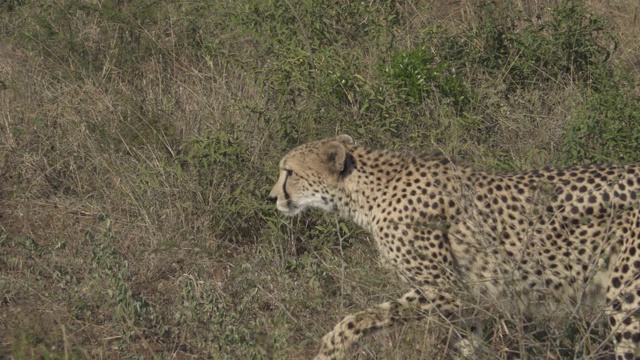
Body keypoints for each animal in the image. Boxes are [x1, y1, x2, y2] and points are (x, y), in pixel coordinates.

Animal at [268, 136, 640, 360]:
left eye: (289, 172)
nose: (271, 197)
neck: (367, 193)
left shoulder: (445, 289)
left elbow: (361, 317)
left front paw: (331, 347)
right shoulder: (469, 301)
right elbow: (468, 342)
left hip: (626, 300)